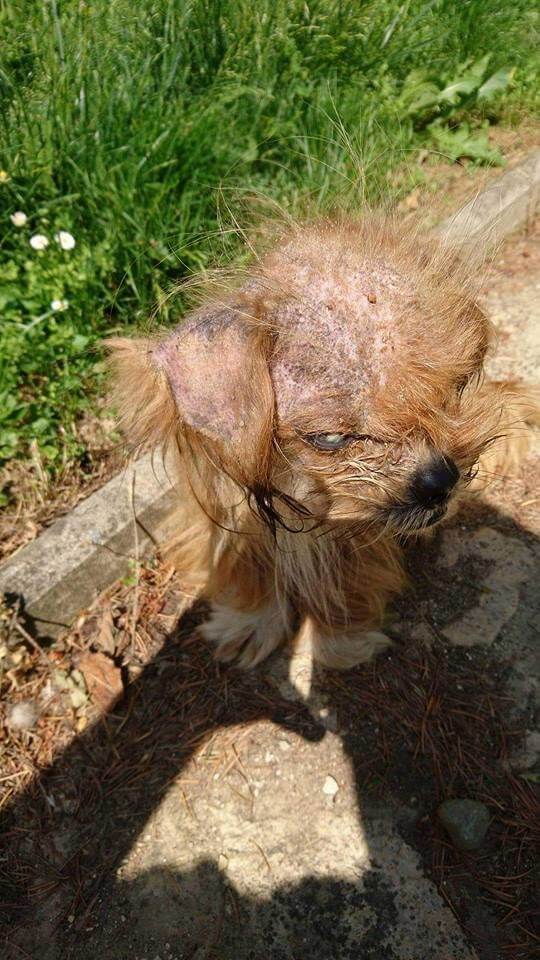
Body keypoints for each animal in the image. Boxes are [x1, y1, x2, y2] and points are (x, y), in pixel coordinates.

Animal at [107, 215, 536, 672]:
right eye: (331, 438)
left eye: (454, 389)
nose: (441, 480)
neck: (294, 490)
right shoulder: (229, 514)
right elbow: (246, 563)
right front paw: (250, 619)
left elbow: (343, 575)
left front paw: (338, 637)